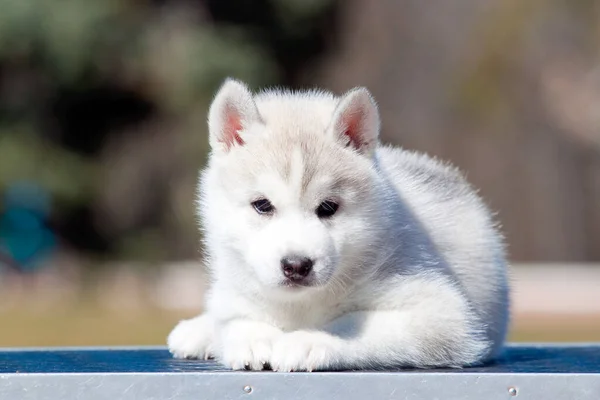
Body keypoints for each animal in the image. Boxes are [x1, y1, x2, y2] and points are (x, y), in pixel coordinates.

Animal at [166, 78, 508, 372]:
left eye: (328, 208)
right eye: (262, 205)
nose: (296, 265)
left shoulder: (444, 314)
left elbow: (357, 322)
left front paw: (309, 341)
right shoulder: (235, 289)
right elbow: (234, 319)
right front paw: (253, 339)